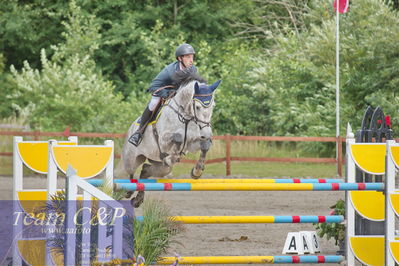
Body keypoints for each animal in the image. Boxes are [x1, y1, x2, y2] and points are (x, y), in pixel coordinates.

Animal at [122, 70, 222, 208]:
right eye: (197, 107)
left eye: (213, 106)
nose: (207, 133)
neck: (186, 117)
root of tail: (131, 128)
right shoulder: (163, 140)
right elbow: (178, 138)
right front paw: (171, 158)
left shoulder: (192, 142)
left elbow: (204, 146)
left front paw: (196, 172)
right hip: (132, 158)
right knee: (130, 172)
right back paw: (128, 190)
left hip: (159, 165)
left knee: (146, 170)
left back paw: (137, 199)